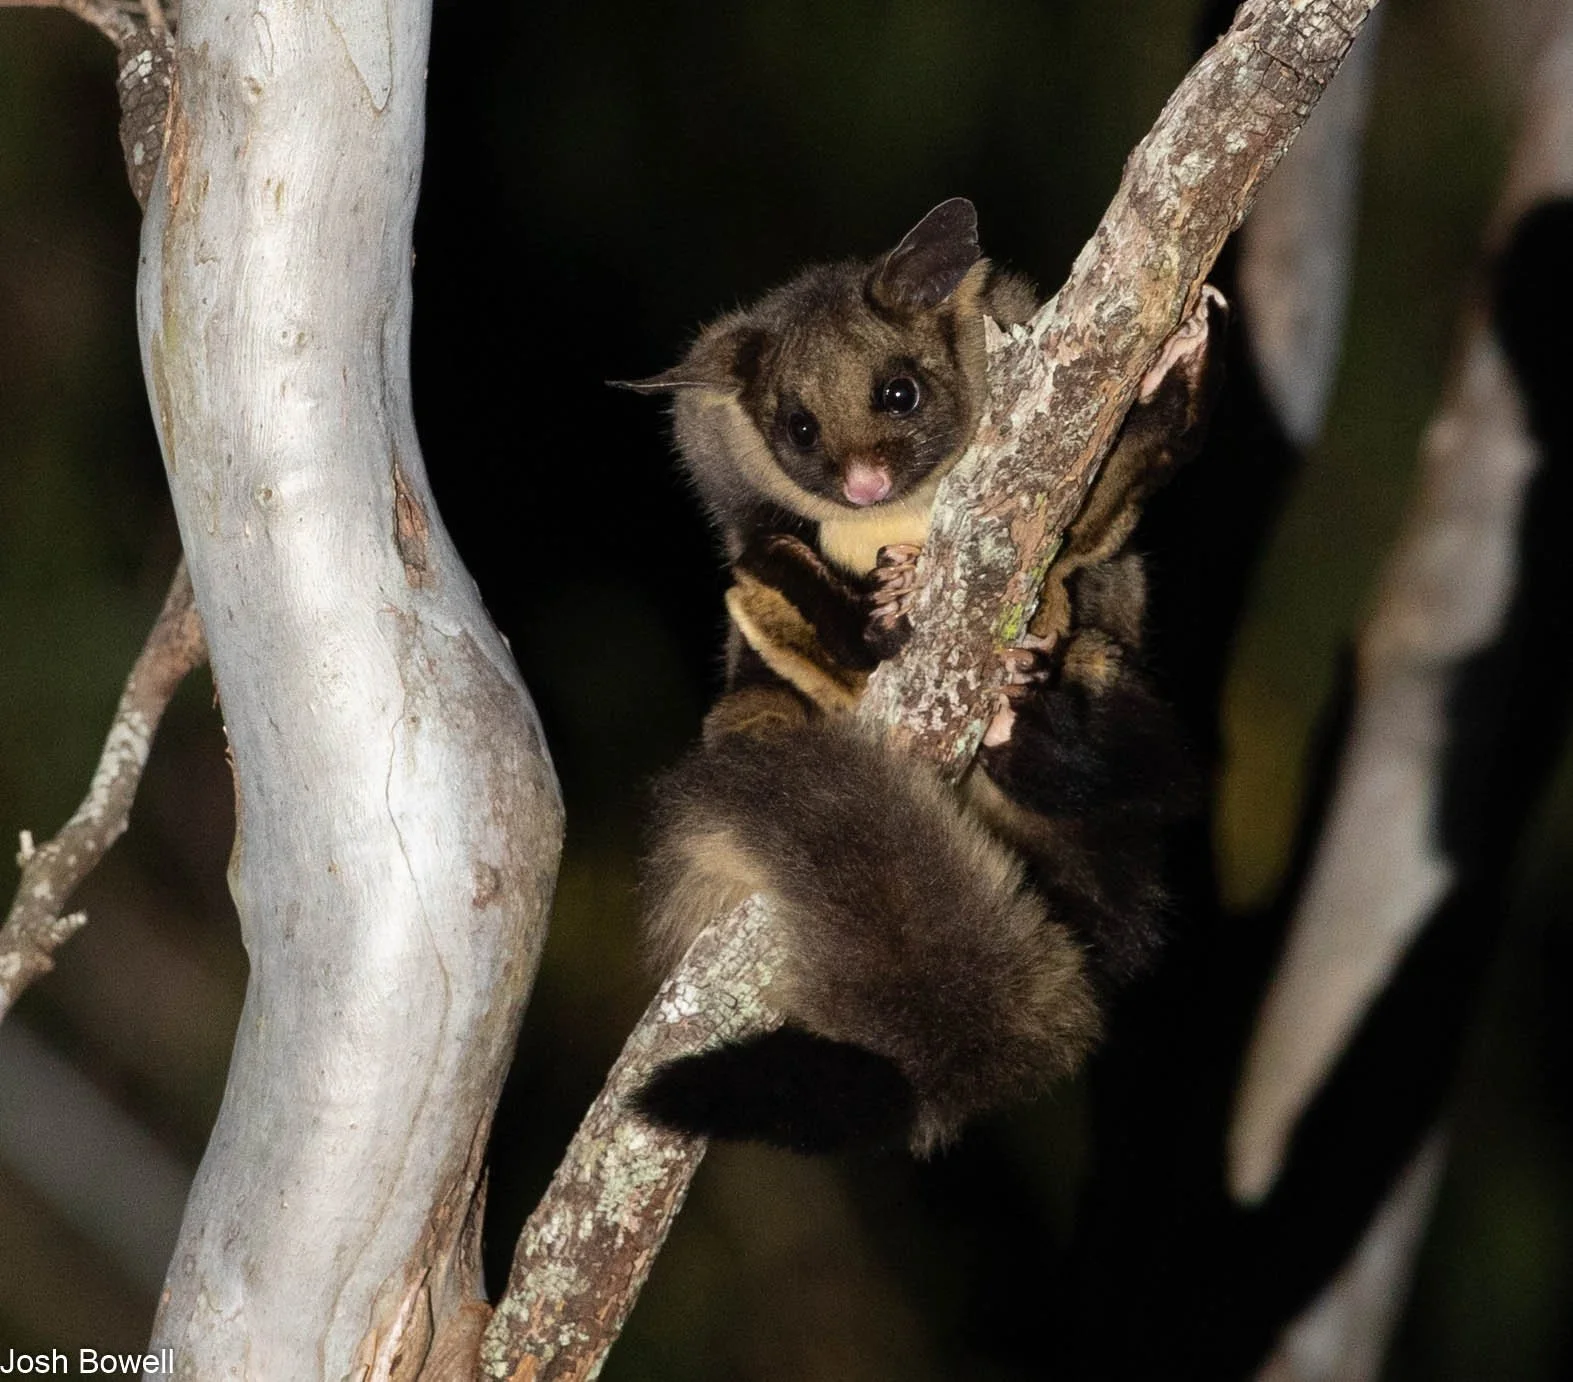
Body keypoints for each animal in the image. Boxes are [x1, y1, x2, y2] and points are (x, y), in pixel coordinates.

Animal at [616, 199, 1225, 1154]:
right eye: (798, 427)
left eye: (897, 393)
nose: (864, 484)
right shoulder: (726, 474)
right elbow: (755, 546)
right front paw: (863, 612)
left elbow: (1092, 527)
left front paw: (1175, 372)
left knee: (1162, 768)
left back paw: (1038, 741)